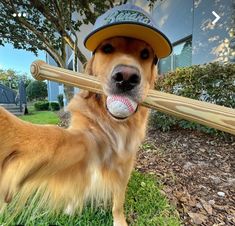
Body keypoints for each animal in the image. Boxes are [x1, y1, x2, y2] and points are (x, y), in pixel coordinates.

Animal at [0, 36, 158, 225]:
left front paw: (119, 219)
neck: (113, 124)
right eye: (107, 48)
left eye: (145, 54)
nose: (126, 78)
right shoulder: (84, 140)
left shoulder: (125, 163)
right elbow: (52, 136)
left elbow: (118, 200)